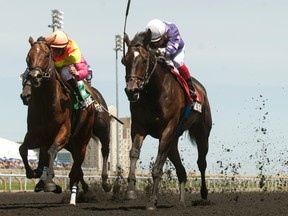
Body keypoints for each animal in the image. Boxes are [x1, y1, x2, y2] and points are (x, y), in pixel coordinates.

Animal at [18, 35, 111, 204]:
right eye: (28, 57)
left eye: (47, 55)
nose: (35, 77)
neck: (46, 102)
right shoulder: (36, 134)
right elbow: (23, 149)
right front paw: (36, 174)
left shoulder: (64, 131)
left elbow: (52, 150)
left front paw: (49, 183)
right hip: (73, 143)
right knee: (77, 165)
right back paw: (82, 189)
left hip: (93, 132)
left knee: (103, 149)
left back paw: (104, 183)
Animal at [121, 31, 212, 210]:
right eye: (124, 60)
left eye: (143, 60)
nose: (131, 91)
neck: (154, 93)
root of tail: (201, 90)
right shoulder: (139, 127)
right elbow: (134, 153)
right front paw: (130, 191)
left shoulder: (167, 131)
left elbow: (157, 168)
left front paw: (151, 201)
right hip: (173, 142)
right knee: (181, 171)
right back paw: (181, 201)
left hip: (201, 133)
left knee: (201, 162)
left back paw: (204, 195)